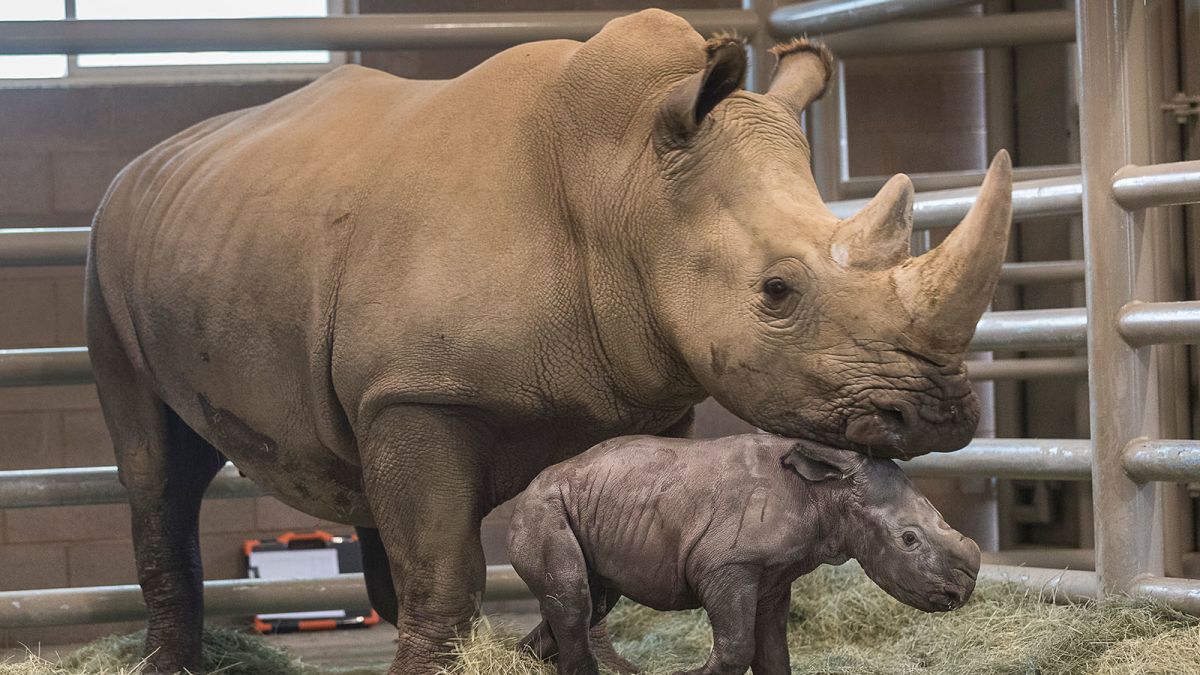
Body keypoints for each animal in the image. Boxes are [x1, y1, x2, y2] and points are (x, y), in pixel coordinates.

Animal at [511, 429, 979, 672]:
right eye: (909, 539)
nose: (961, 593)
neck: (827, 493)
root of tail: (529, 485)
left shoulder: (774, 576)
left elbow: (773, 650)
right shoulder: (727, 564)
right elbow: (738, 646)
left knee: (590, 602)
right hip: (544, 506)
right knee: (576, 602)